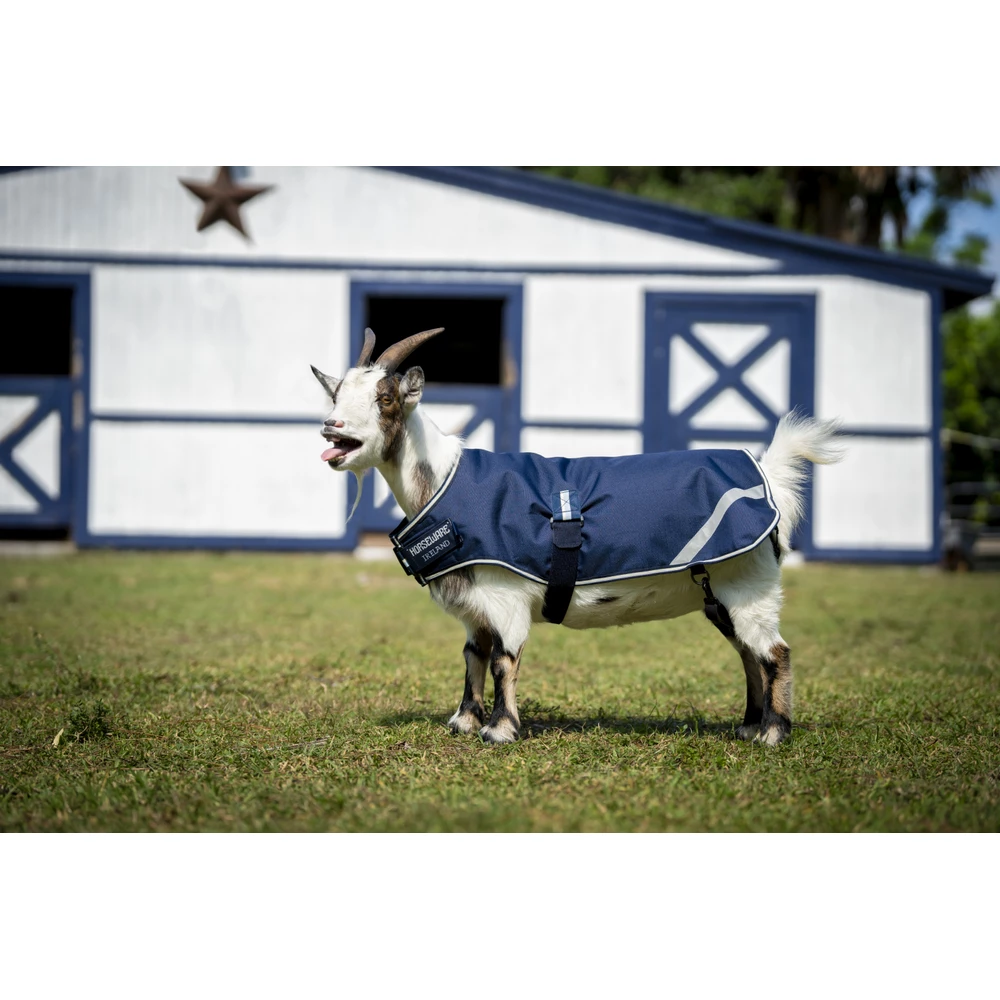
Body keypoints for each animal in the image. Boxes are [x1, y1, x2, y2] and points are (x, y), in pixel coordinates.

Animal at [312, 326, 844, 746]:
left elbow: (504, 660)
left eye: (384, 398)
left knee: (773, 652)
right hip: (720, 594)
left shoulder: (505, 597)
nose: (330, 428)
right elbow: (473, 657)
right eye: (336, 395)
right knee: (748, 654)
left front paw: (500, 730)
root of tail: (767, 473)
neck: (445, 480)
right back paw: (749, 726)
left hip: (749, 584)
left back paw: (773, 733)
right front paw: (464, 721)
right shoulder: (474, 608)